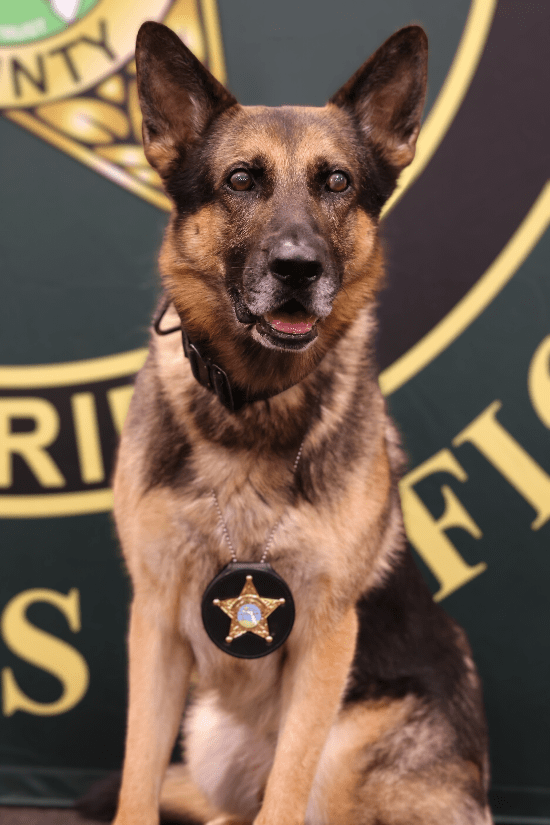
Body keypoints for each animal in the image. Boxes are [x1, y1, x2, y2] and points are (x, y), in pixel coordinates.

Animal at [106, 19, 492, 824]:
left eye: (337, 182)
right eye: (240, 180)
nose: (297, 268)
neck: (252, 405)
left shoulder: (324, 635)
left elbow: (285, 793)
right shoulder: (154, 623)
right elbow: (136, 777)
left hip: (346, 748)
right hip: (208, 729)